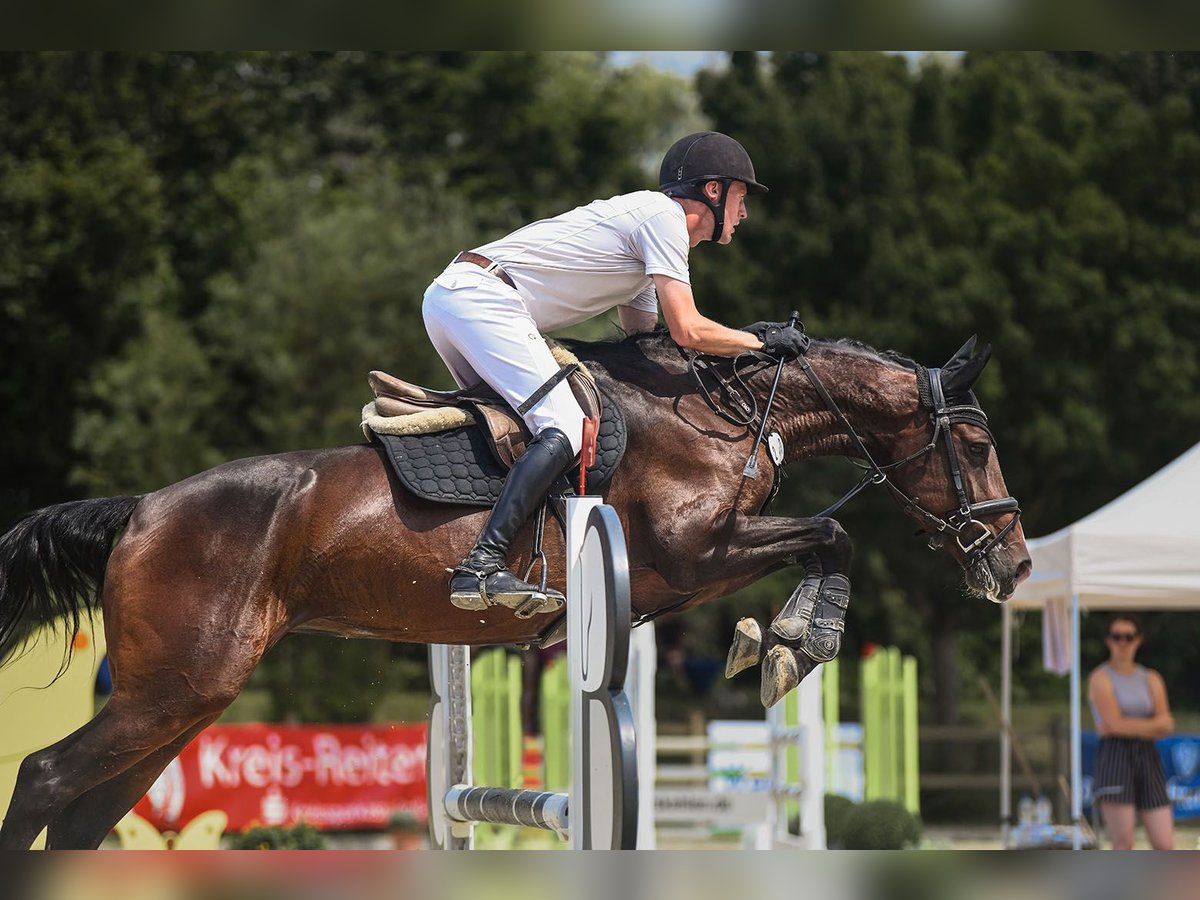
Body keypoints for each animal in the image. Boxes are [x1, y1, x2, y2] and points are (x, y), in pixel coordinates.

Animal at [0, 328, 1032, 849]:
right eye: (978, 442)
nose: (1015, 564)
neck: (727, 419)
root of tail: (141, 510)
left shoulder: (682, 575)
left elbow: (823, 538)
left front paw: (775, 643)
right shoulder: (695, 554)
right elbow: (832, 534)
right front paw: (792, 643)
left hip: (187, 700)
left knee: (84, 813)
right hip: (177, 689)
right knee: (46, 778)